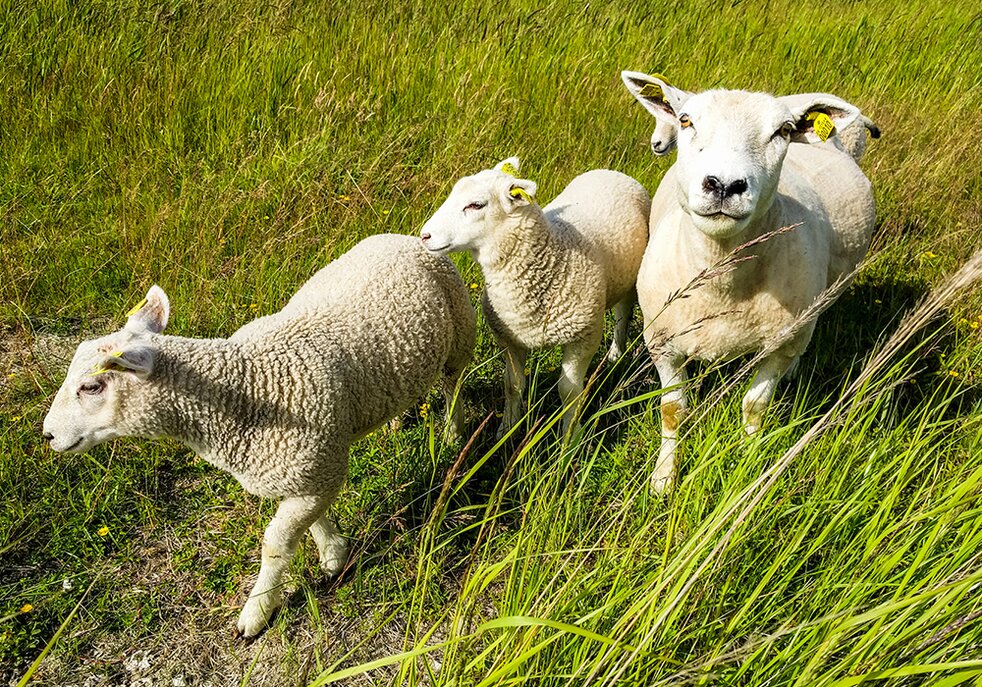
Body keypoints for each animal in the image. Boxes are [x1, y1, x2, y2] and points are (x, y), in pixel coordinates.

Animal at [41, 233, 476, 637]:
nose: (47, 435)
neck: (248, 387)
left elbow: (275, 545)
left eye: (92, 387)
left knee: (454, 384)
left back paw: (453, 435)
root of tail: (402, 238)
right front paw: (333, 553)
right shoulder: (307, 471)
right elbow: (308, 525)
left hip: (460, 331)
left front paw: (257, 610)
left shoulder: (316, 465)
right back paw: (395, 423)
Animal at [420, 157, 650, 436]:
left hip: (632, 277)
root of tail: (608, 171)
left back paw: (617, 352)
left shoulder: (583, 337)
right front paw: (507, 429)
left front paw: (570, 436)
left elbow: (569, 391)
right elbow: (512, 385)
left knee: (623, 314)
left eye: (476, 205)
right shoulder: (509, 339)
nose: (424, 236)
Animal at [621, 71, 877, 492]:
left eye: (783, 130)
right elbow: (673, 410)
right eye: (686, 120)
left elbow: (755, 405)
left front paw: (747, 463)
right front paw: (664, 479)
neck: (721, 283)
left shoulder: (779, 343)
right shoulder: (661, 342)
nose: (724, 185)